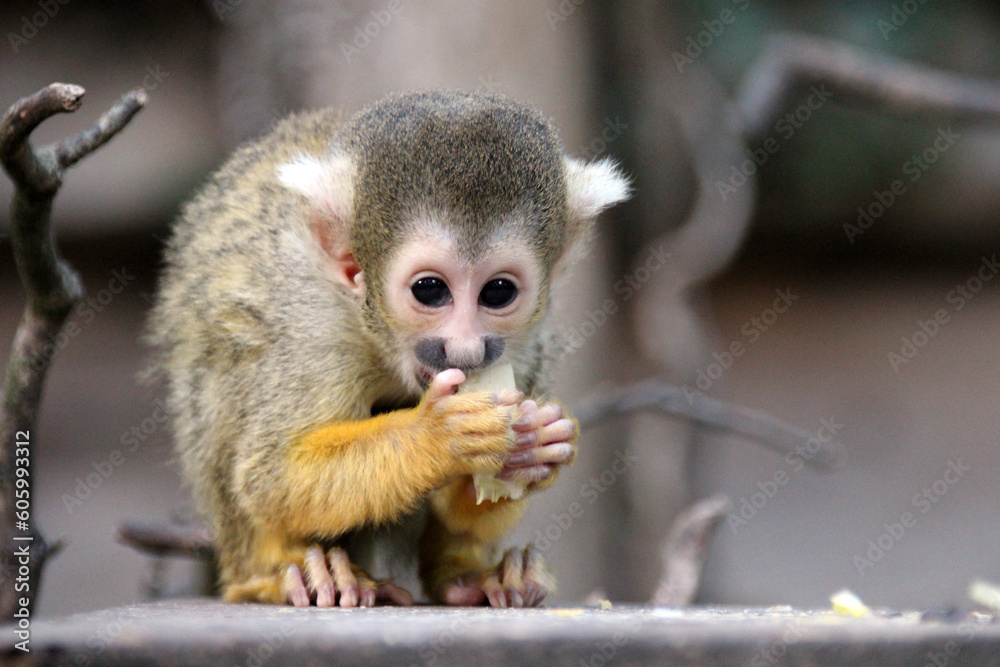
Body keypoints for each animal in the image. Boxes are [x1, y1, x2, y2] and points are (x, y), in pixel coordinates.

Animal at [147, 90, 630, 608]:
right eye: (430, 290)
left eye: (498, 292)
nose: (466, 350)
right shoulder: (313, 327)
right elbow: (271, 477)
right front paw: (436, 437)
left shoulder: (524, 348)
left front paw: (533, 450)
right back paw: (273, 576)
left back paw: (467, 577)